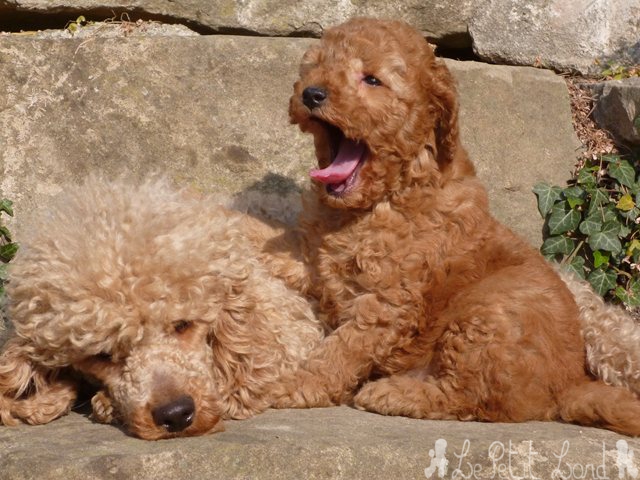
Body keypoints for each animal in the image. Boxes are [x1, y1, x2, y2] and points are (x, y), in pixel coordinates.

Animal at [266, 17, 640, 436]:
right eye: (316, 66)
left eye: (372, 80)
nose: (312, 93)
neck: (378, 201)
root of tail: (569, 384)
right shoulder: (319, 256)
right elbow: (292, 254)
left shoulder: (387, 301)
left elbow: (343, 347)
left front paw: (298, 384)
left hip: (487, 314)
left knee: (468, 397)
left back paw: (395, 392)